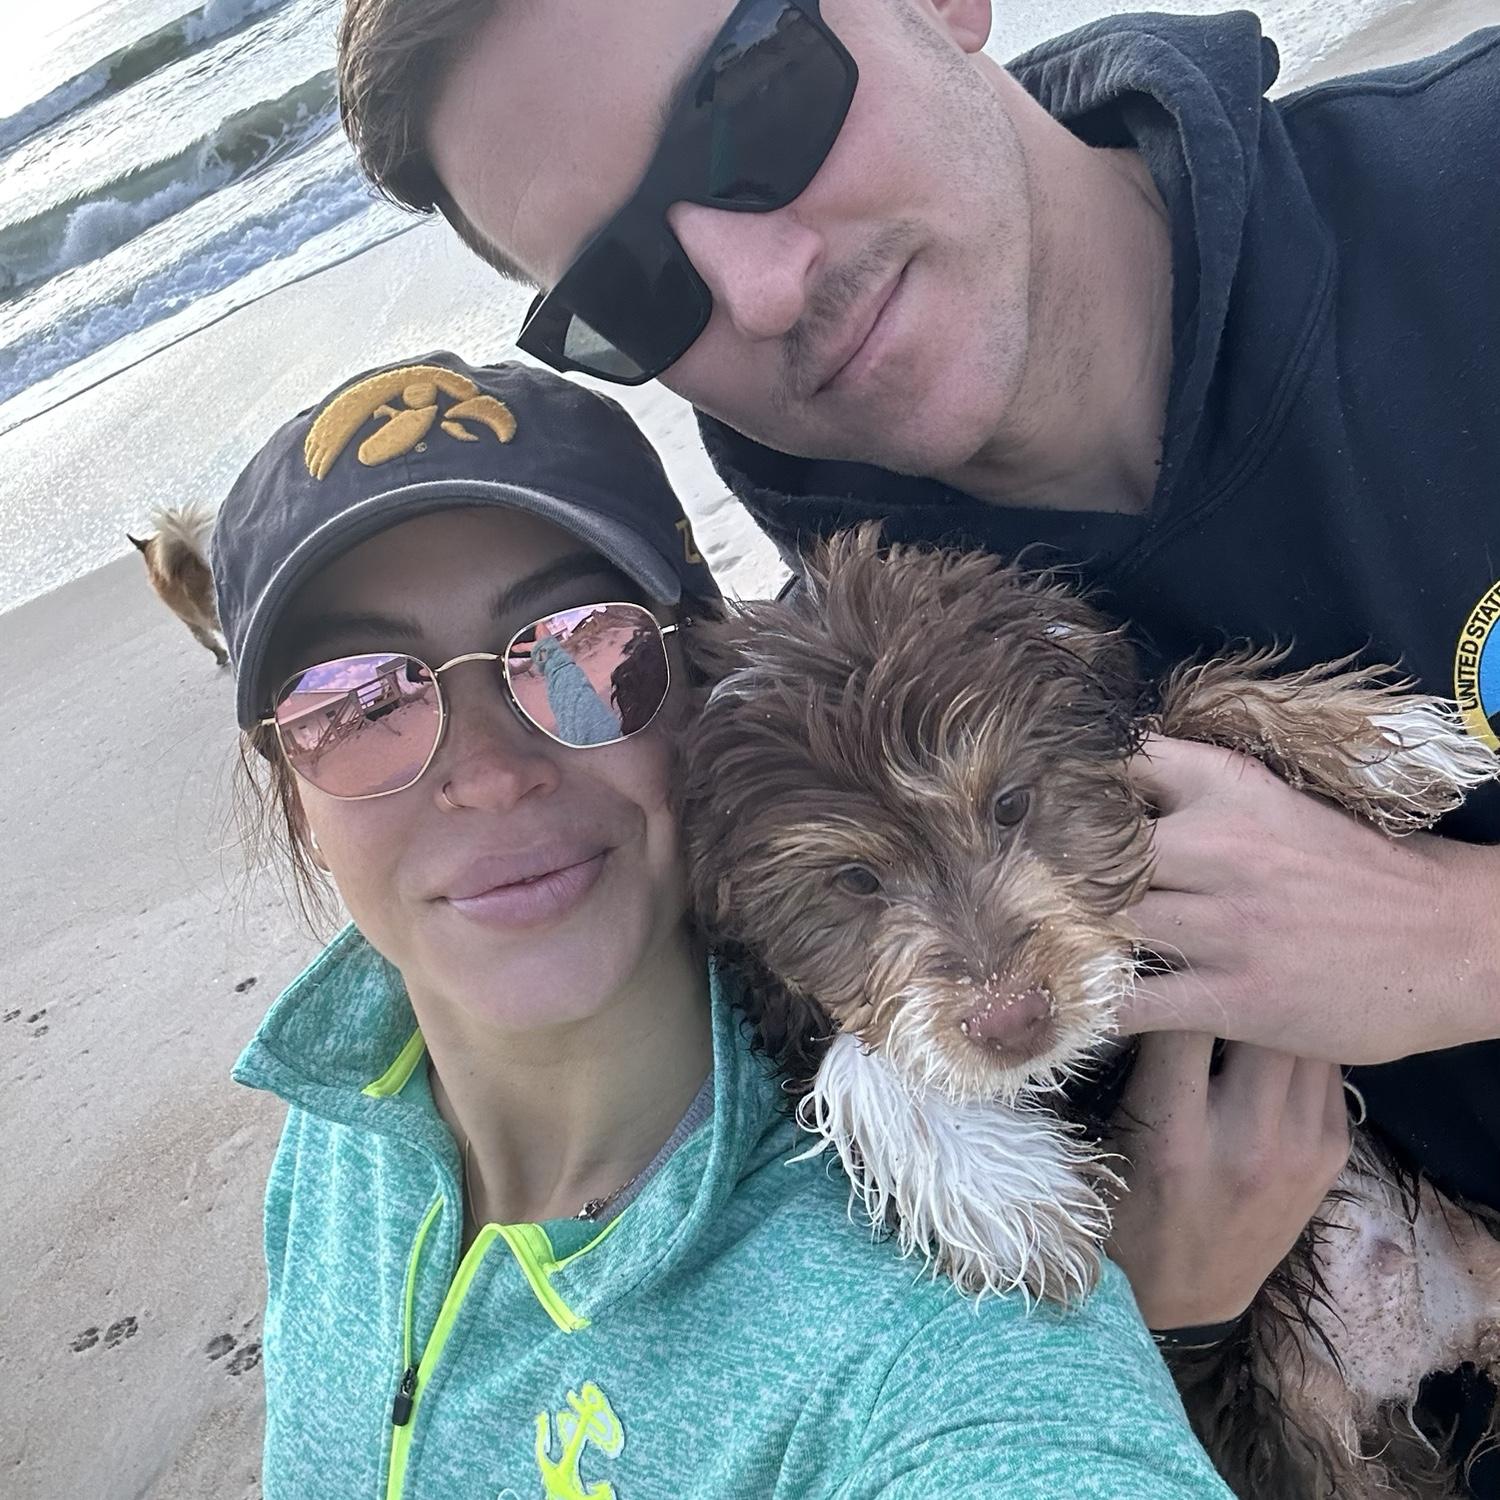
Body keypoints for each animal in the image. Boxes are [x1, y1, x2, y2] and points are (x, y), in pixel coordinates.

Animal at [680, 525, 1500, 1500]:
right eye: (855, 881)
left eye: (1010, 803)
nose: (1011, 1021)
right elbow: (853, 1058)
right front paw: (1007, 1194)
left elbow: (1187, 704)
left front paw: (1379, 744)